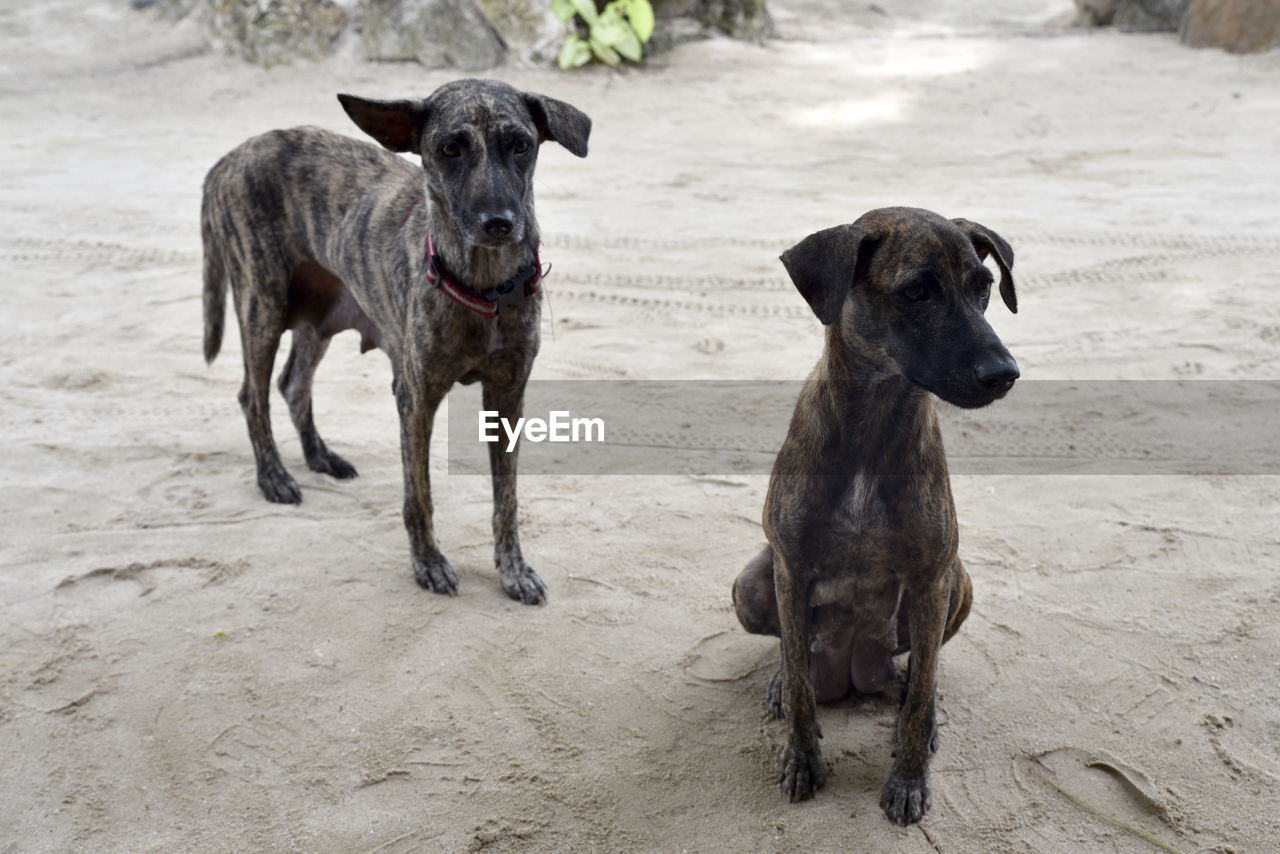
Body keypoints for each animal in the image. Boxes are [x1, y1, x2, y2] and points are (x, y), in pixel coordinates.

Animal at [202, 78, 591, 601]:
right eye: (449, 149)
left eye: (521, 145)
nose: (499, 223)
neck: (483, 286)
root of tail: (230, 157)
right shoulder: (415, 398)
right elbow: (418, 495)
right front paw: (428, 563)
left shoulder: (507, 396)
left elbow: (505, 499)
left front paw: (513, 569)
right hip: (261, 304)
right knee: (253, 394)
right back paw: (274, 478)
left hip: (319, 316)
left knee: (293, 384)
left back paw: (321, 457)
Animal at [732, 204, 1018, 819]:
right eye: (915, 291)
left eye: (984, 287)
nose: (1005, 373)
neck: (874, 424)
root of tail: (852, 671)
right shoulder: (791, 568)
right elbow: (798, 681)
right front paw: (802, 757)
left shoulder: (932, 578)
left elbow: (920, 695)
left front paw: (909, 777)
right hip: (753, 583)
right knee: (794, 656)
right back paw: (781, 683)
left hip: (958, 583)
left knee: (917, 676)